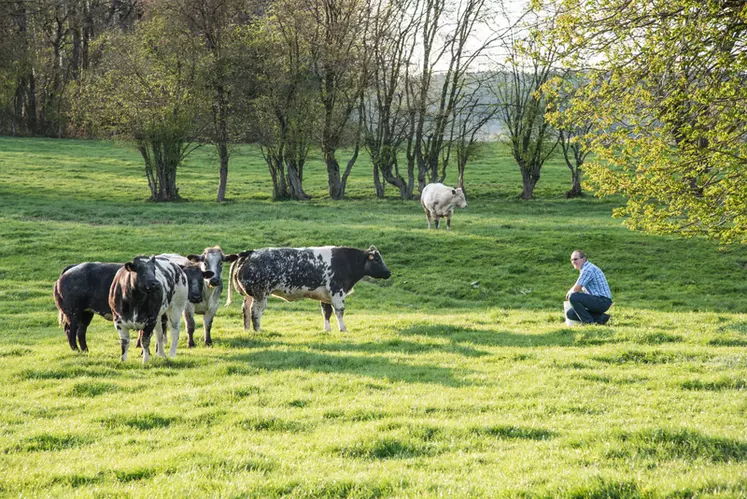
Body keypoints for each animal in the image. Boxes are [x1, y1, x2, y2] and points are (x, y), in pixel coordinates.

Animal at [226, 245, 392, 332]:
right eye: (377, 259)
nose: (388, 273)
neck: (346, 261)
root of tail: (250, 253)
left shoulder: (326, 295)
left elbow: (326, 312)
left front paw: (327, 330)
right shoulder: (337, 292)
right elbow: (339, 312)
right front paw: (343, 329)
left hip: (249, 295)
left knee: (245, 310)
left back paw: (247, 330)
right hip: (260, 295)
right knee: (255, 312)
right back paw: (258, 330)